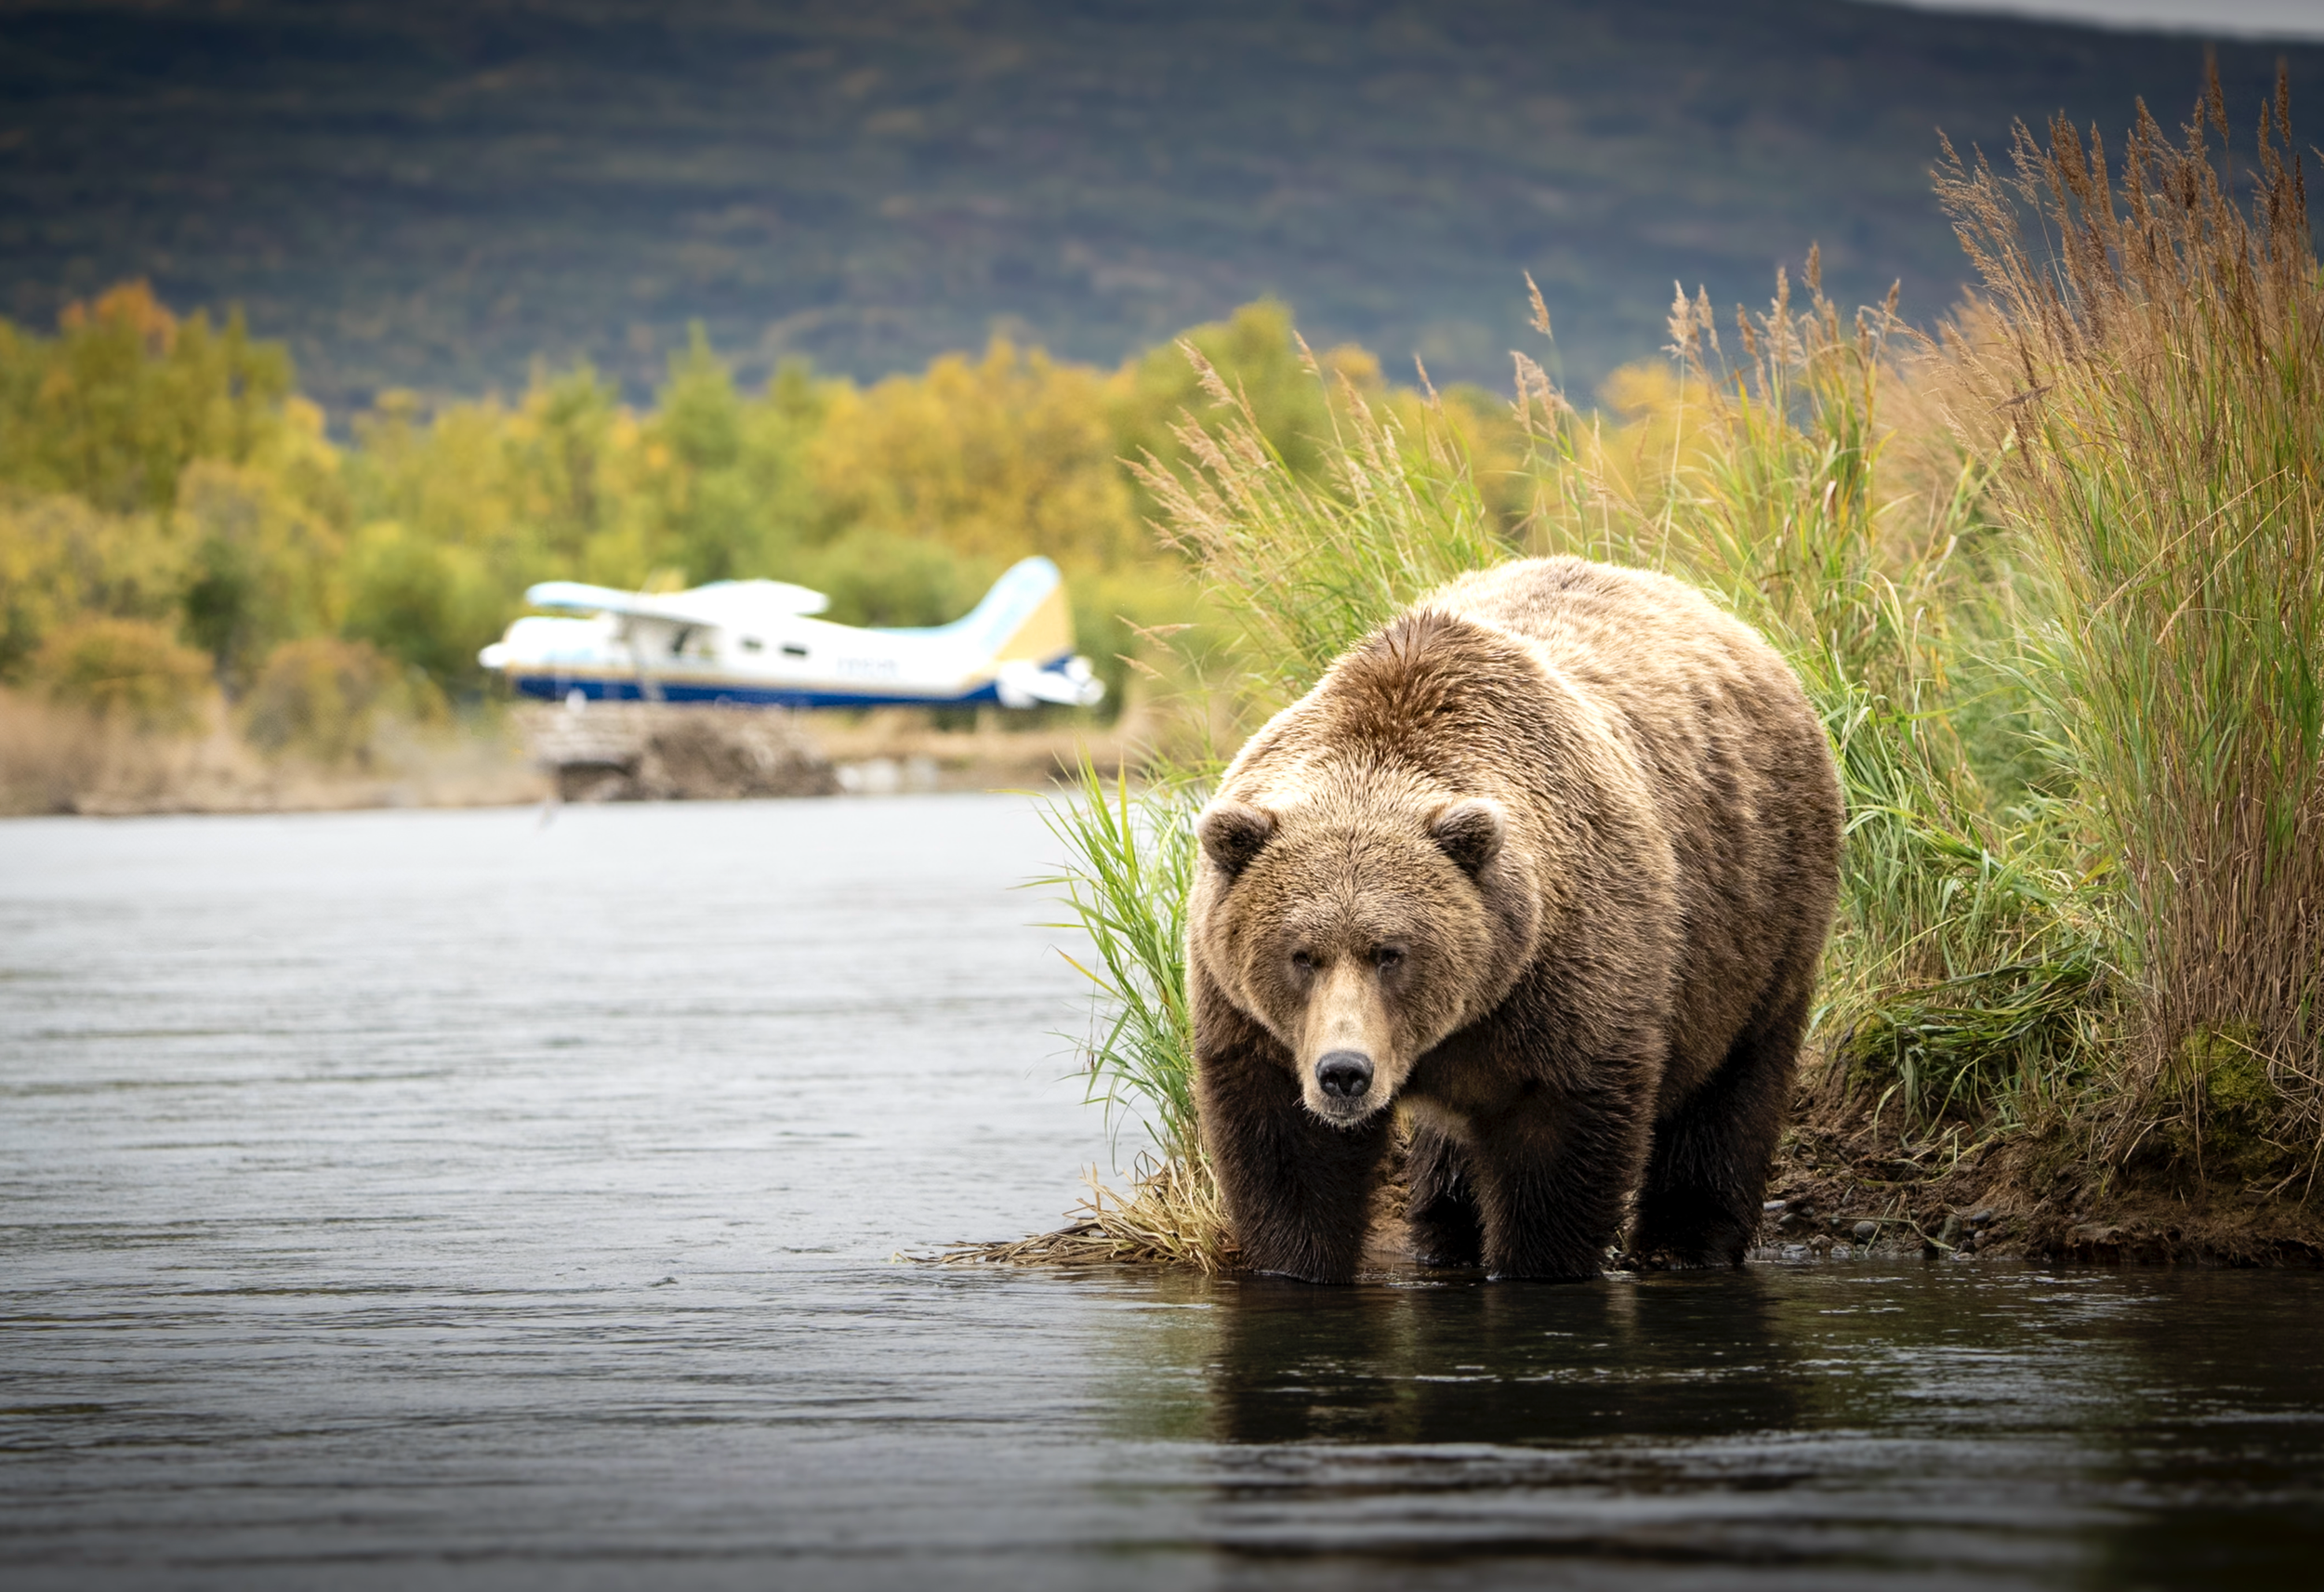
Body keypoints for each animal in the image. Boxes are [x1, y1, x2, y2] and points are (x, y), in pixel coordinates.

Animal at [1187, 555, 1842, 1283]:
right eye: (1302, 954)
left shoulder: (1569, 982)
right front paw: (1298, 1263)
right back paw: (1445, 1229)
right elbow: (1290, 1157)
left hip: (1758, 920)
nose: (1344, 1072)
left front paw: (1535, 1262)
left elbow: (1556, 1157)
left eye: (1391, 952)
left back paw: (1688, 1240)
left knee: (1732, 1086)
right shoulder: (1254, 1022)